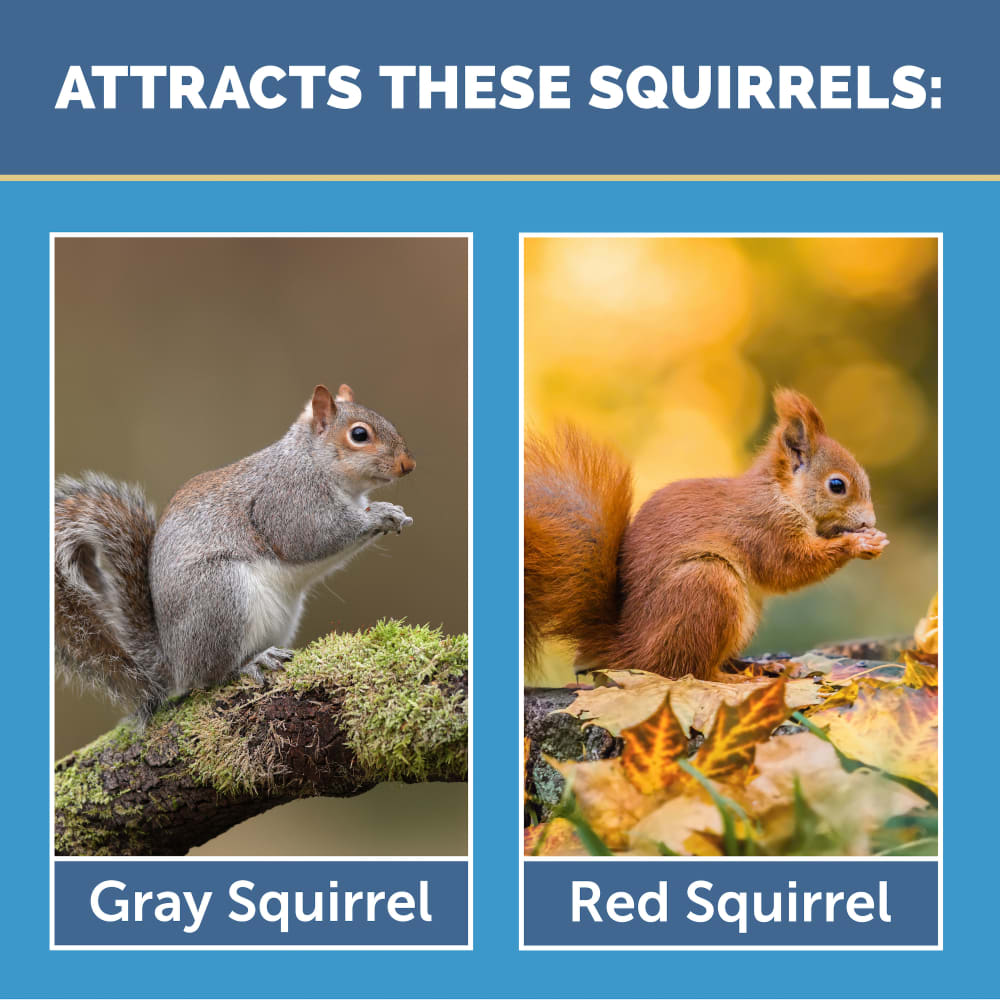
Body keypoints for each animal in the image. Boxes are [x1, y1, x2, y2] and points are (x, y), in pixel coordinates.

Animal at [55, 383, 415, 724]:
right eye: (359, 435)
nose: (408, 465)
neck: (311, 460)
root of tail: (173, 661)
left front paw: (394, 513)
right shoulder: (286, 500)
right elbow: (311, 538)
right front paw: (379, 514)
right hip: (220, 596)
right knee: (211, 675)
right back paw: (251, 662)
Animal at [524, 388, 889, 680]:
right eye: (837, 485)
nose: (870, 521)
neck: (782, 494)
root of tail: (629, 649)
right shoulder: (764, 528)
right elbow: (789, 567)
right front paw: (857, 543)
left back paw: (765, 667)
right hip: (707, 585)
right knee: (689, 670)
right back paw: (736, 680)